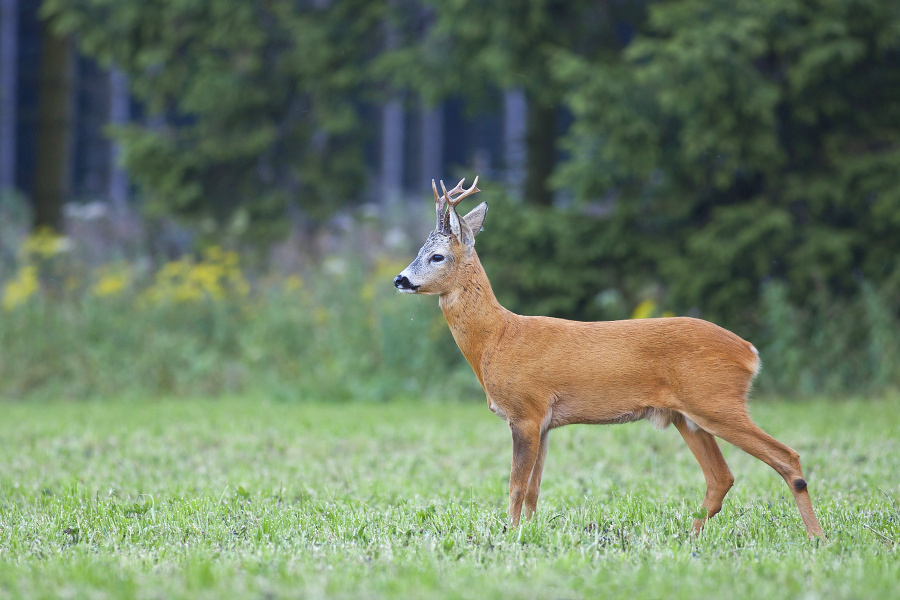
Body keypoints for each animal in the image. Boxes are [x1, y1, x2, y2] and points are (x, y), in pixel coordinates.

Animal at [390, 178, 828, 540]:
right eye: (419, 251)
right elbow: (533, 488)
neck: (498, 339)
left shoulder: (525, 410)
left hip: (716, 401)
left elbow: (515, 485)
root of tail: (750, 352)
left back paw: (816, 537)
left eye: (437, 256)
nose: (400, 279)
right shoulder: (544, 421)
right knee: (721, 477)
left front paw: (508, 534)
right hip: (688, 416)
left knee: (786, 457)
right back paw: (690, 534)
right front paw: (527, 532)